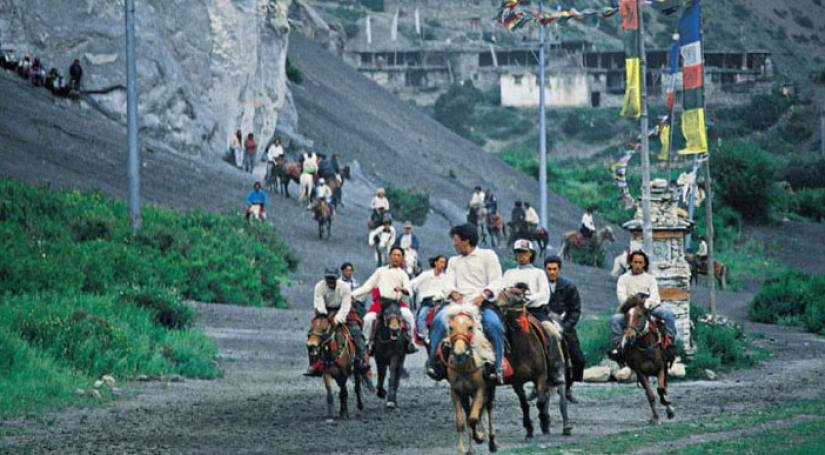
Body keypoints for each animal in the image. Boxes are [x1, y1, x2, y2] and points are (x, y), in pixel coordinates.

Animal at [438, 306, 496, 455]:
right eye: (451, 327)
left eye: (470, 327)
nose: (459, 353)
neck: (464, 369)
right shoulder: (456, 392)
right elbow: (461, 421)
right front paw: (462, 449)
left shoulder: (480, 389)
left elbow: (473, 418)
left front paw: (480, 437)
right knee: (472, 411)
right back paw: (472, 447)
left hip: (490, 388)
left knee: (488, 408)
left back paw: (492, 442)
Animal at [492, 286, 568, 440]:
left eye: (516, 295)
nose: (497, 304)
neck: (524, 348)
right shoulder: (517, 382)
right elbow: (524, 404)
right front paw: (529, 429)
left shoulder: (541, 376)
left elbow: (540, 401)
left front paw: (544, 421)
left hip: (557, 369)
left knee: (560, 391)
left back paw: (566, 426)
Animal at [620, 298, 672, 426]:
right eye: (627, 316)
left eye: (639, 315)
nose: (629, 337)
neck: (647, 347)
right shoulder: (640, 372)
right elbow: (650, 395)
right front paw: (656, 418)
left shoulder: (661, 368)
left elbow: (661, 389)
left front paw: (668, 407)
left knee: (664, 387)